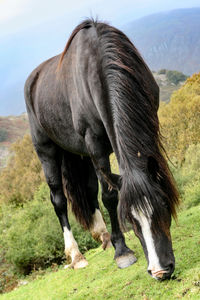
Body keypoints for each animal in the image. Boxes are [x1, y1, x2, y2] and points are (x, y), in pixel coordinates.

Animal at [24, 19, 179, 280]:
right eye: (132, 221)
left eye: (162, 207)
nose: (159, 271)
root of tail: (32, 81)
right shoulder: (95, 146)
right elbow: (109, 196)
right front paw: (123, 252)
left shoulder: (151, 122)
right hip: (47, 151)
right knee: (59, 200)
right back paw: (76, 256)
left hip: (80, 154)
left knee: (88, 189)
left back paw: (104, 237)